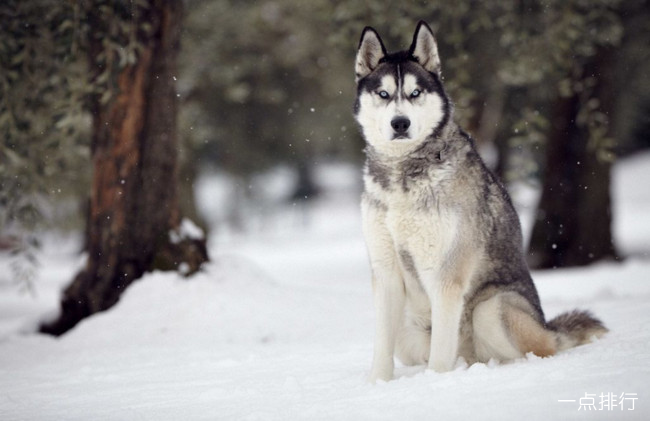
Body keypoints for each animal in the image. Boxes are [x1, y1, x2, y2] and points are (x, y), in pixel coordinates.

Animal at [352, 21, 604, 382]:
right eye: (383, 94)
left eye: (415, 93)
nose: (400, 123)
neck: (404, 175)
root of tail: (548, 327)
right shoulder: (385, 272)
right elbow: (381, 353)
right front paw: (377, 385)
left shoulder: (446, 276)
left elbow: (440, 356)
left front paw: (436, 382)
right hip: (408, 330)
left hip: (492, 309)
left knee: (538, 348)